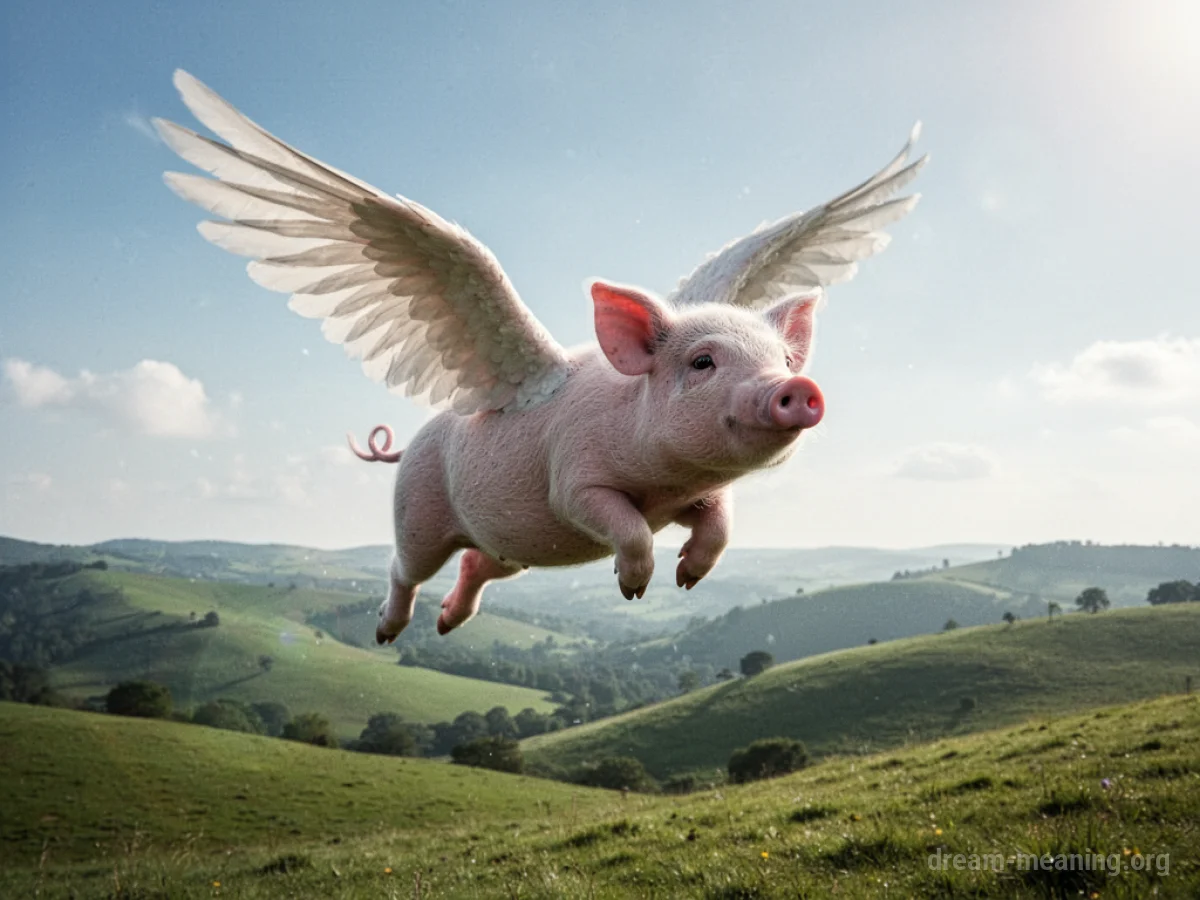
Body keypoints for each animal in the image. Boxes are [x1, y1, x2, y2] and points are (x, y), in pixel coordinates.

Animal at [156, 70, 926, 642]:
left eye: (781, 359)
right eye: (703, 362)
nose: (797, 388)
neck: (663, 478)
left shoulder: (700, 494)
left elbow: (723, 524)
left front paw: (687, 579)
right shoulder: (574, 483)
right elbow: (618, 520)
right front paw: (636, 590)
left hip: (514, 547)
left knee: (476, 563)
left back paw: (447, 626)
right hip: (418, 509)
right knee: (406, 566)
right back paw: (387, 632)